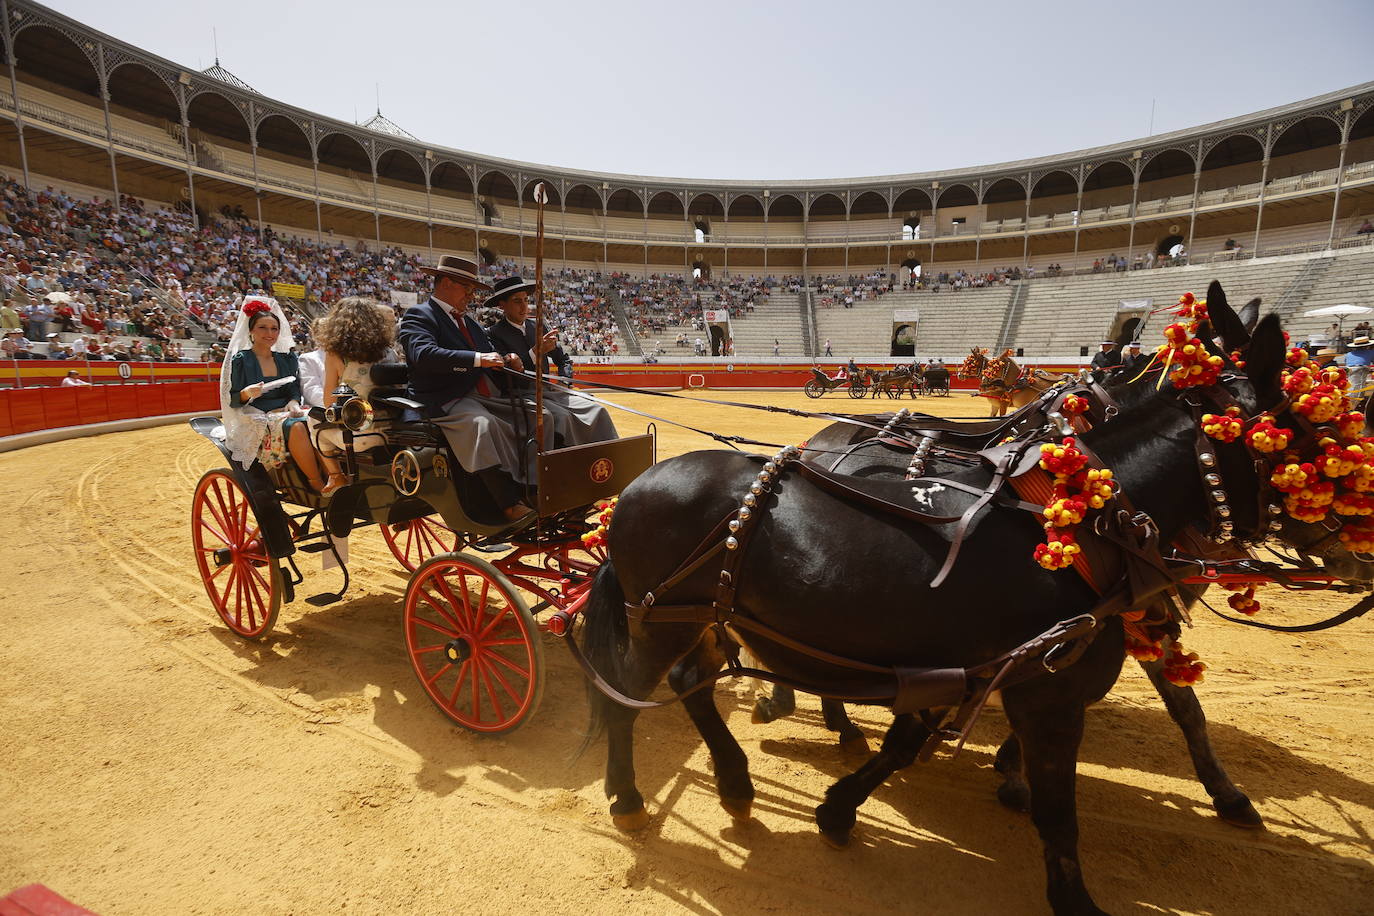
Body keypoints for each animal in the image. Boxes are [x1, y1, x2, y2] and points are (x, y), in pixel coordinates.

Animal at [577, 289, 1352, 911]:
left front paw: (841, 809)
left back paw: (740, 779)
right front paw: (1071, 890)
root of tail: (642, 485)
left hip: (699, 619)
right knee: (625, 698)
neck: (1091, 520)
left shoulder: (972, 667)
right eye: (1316, 430)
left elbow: (910, 742)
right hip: (658, 621)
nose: (1356, 549)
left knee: (693, 681)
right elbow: (1059, 809)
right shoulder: (1047, 689)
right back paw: (631, 797)